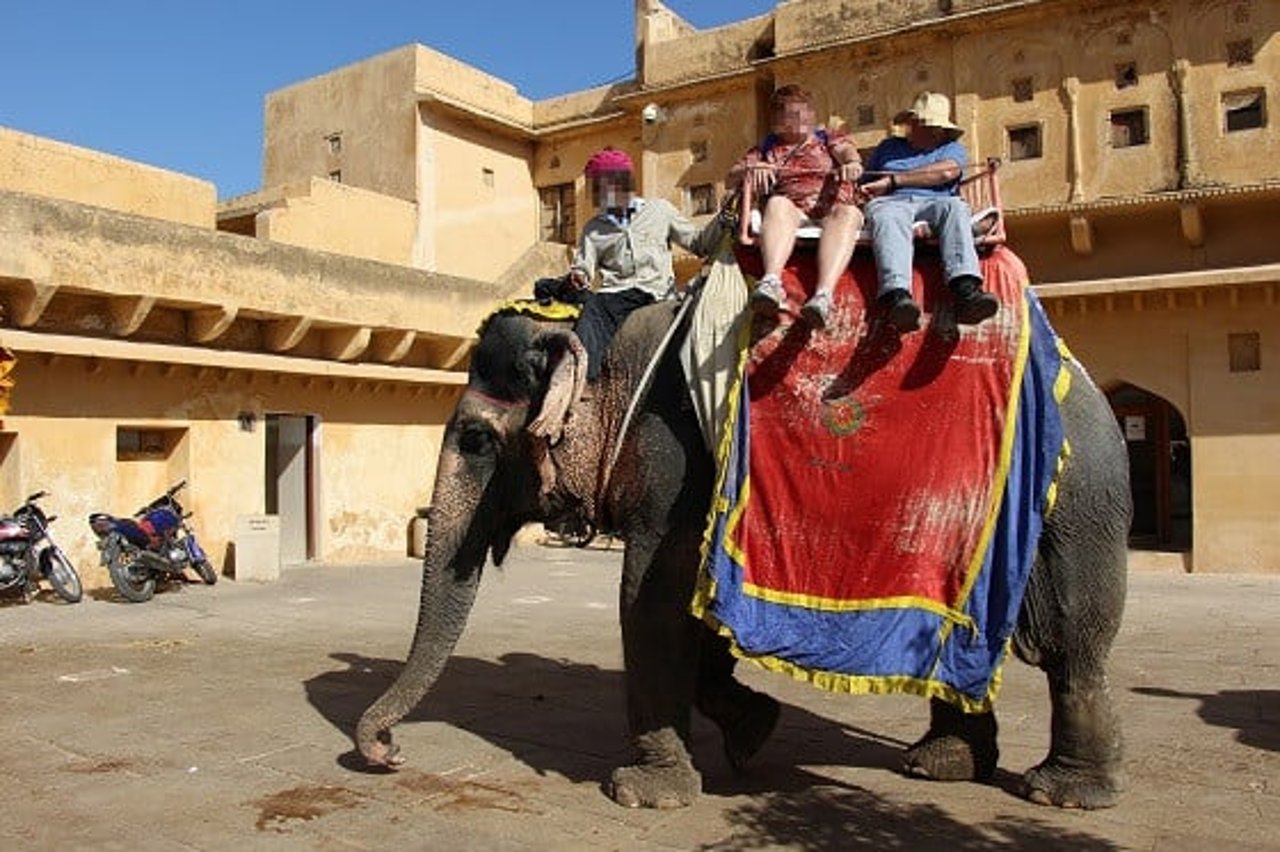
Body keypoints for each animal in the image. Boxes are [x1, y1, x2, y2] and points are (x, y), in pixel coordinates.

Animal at [353, 296, 1131, 808]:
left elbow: (651, 600)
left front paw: (645, 794)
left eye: (476, 440)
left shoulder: (675, 458)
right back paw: (941, 766)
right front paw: (754, 732)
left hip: (1079, 500)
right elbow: (690, 617)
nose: (388, 752)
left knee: (1071, 641)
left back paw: (1063, 791)